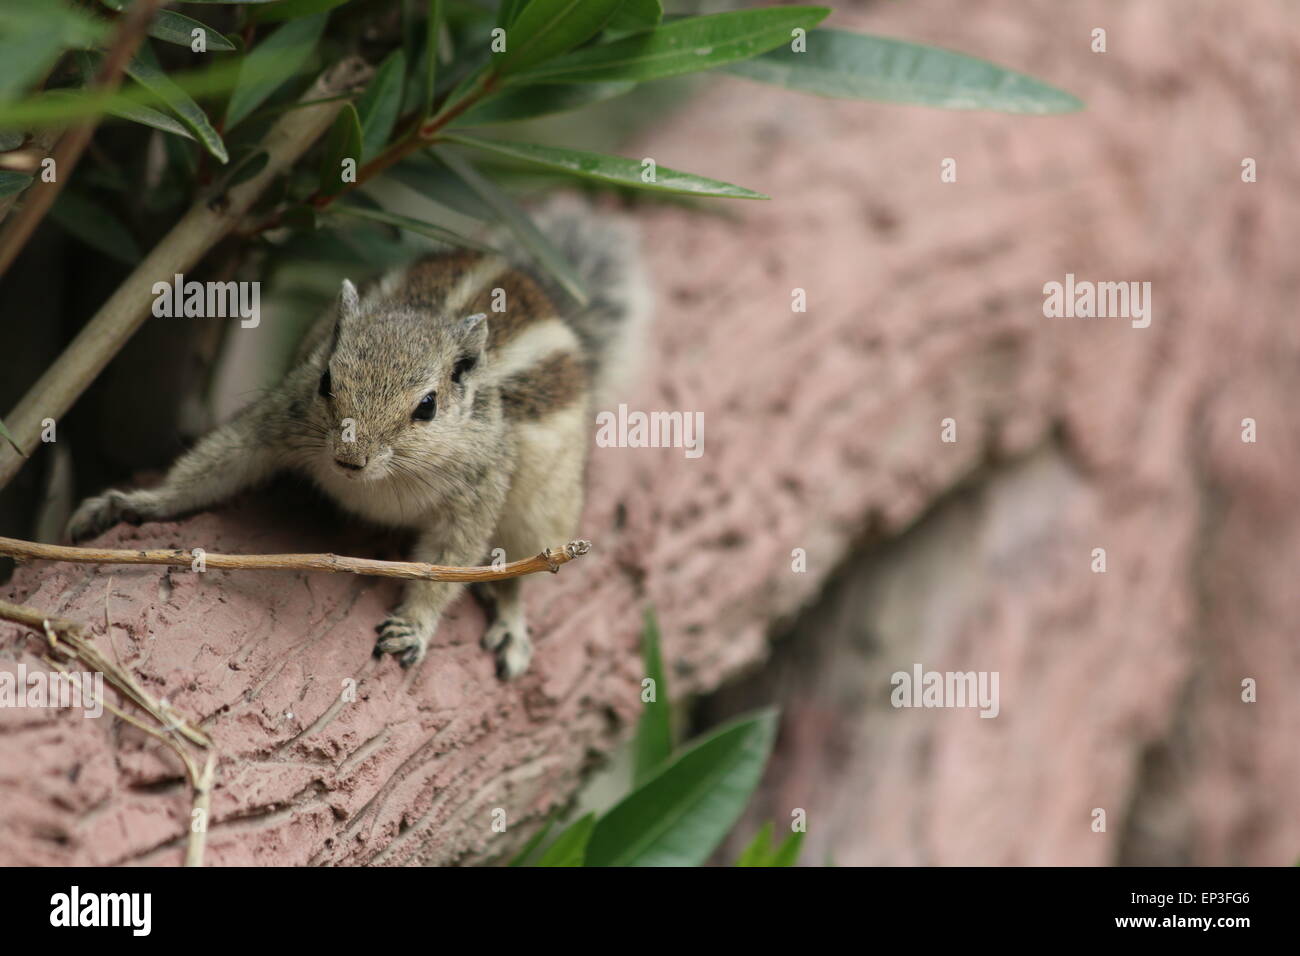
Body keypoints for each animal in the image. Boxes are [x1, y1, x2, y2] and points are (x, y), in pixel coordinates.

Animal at [65, 201, 655, 681]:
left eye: (427, 406)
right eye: (327, 379)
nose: (349, 459)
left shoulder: (477, 488)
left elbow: (449, 562)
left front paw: (413, 626)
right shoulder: (279, 419)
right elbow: (215, 465)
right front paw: (136, 502)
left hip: (544, 507)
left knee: (525, 567)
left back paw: (511, 624)